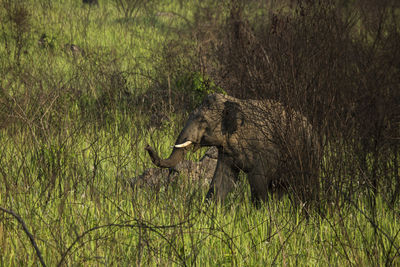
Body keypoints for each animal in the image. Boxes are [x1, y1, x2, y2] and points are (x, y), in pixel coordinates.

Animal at [145, 93, 320, 206]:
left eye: (202, 120)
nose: (147, 146)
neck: (234, 102)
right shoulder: (226, 152)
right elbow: (221, 180)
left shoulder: (266, 150)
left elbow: (257, 180)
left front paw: (260, 213)